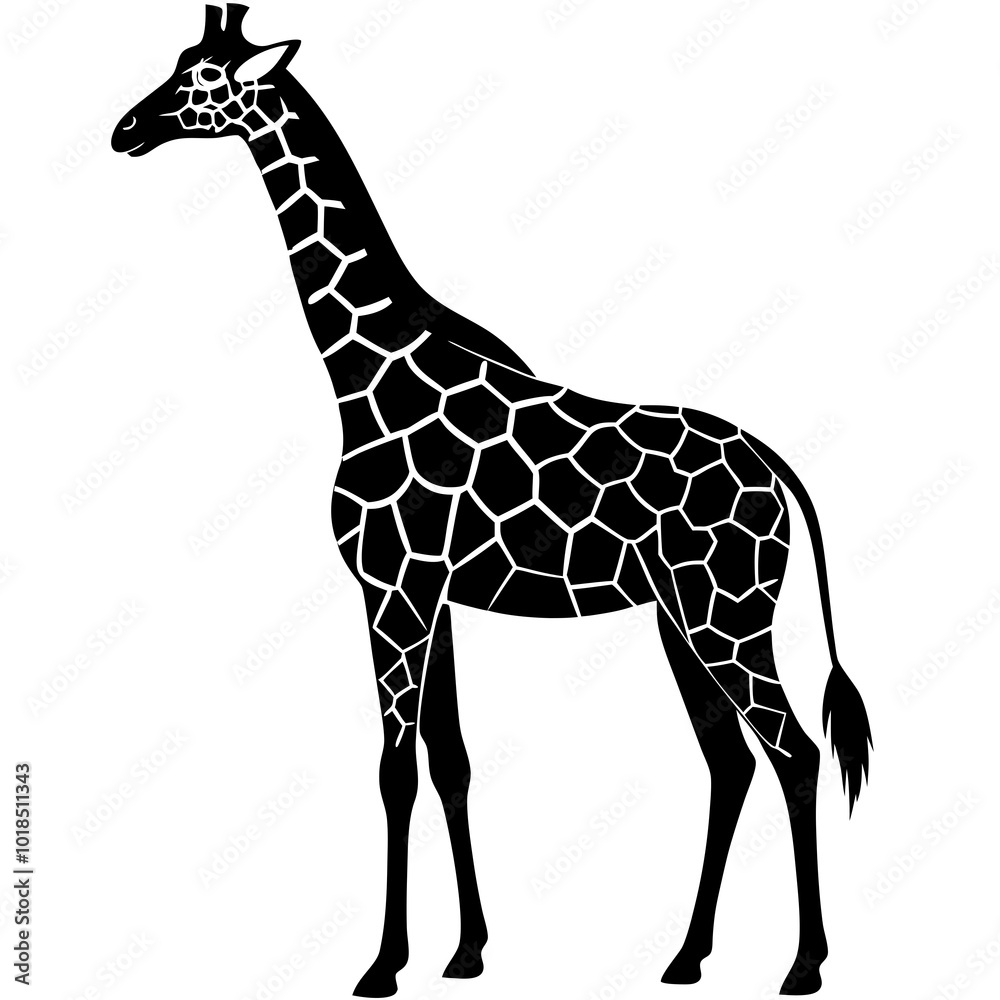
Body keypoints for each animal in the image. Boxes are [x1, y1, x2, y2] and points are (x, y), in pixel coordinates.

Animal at [112, 6, 873, 996]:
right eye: (176, 62)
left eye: (203, 77)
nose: (125, 130)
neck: (365, 373)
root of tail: (779, 470)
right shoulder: (426, 596)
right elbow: (451, 762)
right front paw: (466, 951)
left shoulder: (392, 591)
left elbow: (396, 768)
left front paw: (382, 965)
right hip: (682, 616)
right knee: (731, 759)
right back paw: (686, 956)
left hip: (728, 615)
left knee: (793, 752)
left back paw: (804, 965)